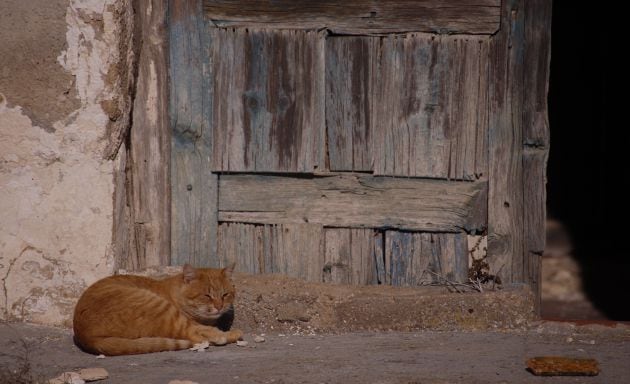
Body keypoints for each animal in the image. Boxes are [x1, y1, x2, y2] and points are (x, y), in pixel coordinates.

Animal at [73, 262, 243, 356]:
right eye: (206, 295)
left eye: (225, 295)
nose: (219, 306)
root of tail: (87, 337)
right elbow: (201, 331)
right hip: (162, 309)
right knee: (194, 334)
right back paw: (231, 334)